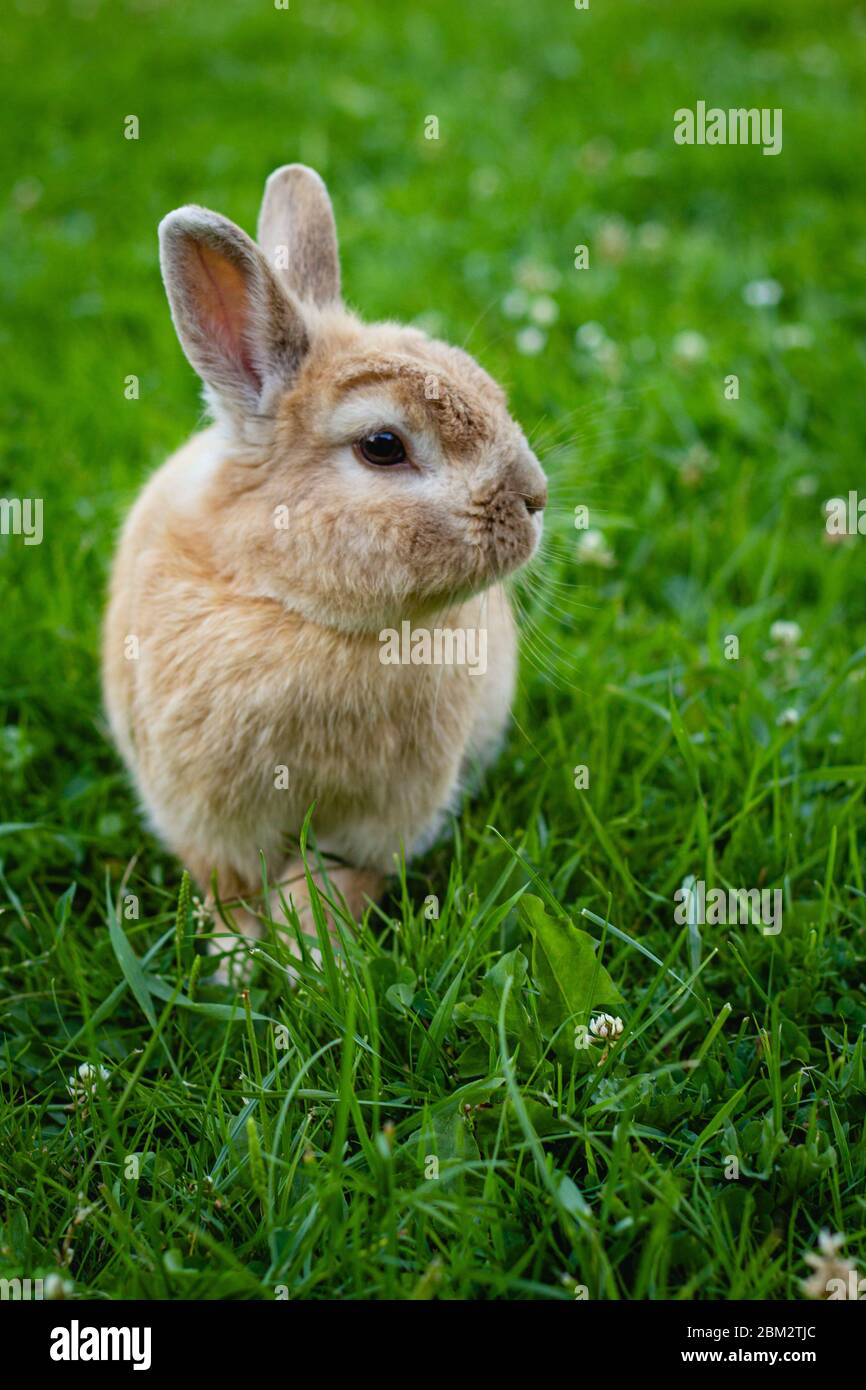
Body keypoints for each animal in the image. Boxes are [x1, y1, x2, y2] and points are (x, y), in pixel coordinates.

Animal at [103, 165, 547, 978]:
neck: (296, 608)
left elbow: (334, 881)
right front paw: (239, 968)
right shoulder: (206, 818)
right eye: (382, 446)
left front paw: (312, 961)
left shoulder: (380, 823)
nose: (535, 498)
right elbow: (230, 889)